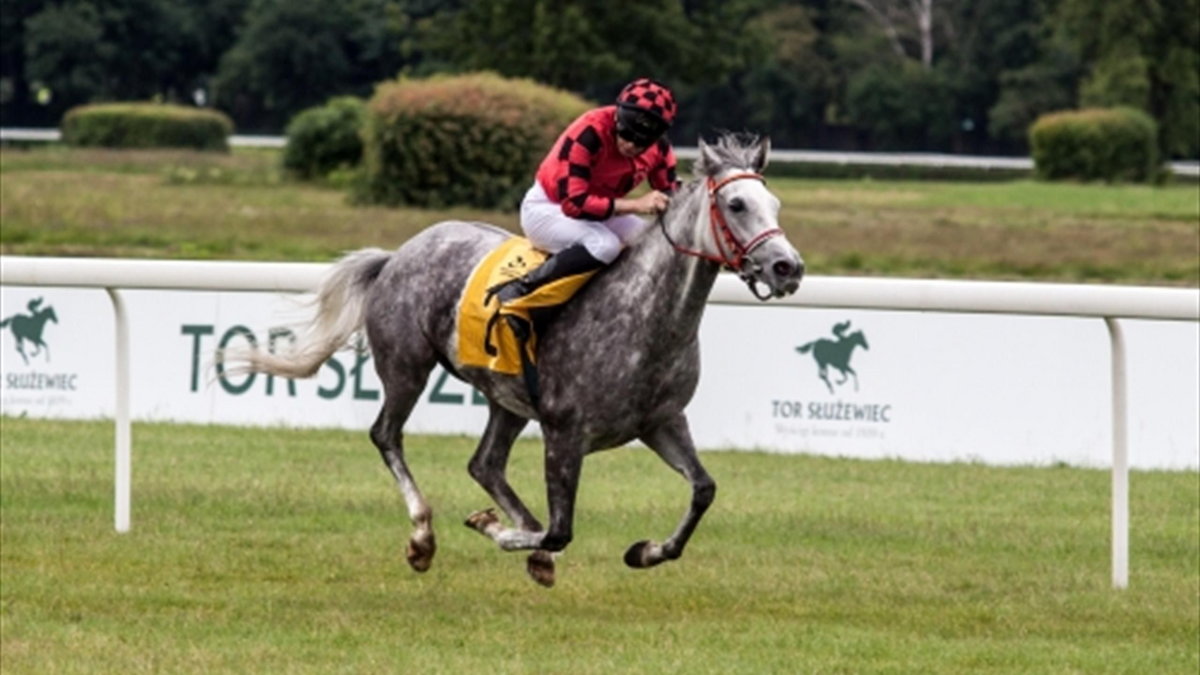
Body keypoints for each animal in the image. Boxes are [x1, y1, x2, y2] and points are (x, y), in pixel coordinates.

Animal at [225, 132, 806, 583]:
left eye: (775, 205)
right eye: (736, 205)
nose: (788, 268)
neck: (646, 319)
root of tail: (400, 253)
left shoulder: (661, 421)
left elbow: (703, 490)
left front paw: (645, 551)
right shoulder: (565, 433)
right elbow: (561, 528)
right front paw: (496, 530)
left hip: (505, 397)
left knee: (485, 463)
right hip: (407, 367)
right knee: (387, 435)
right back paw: (423, 537)